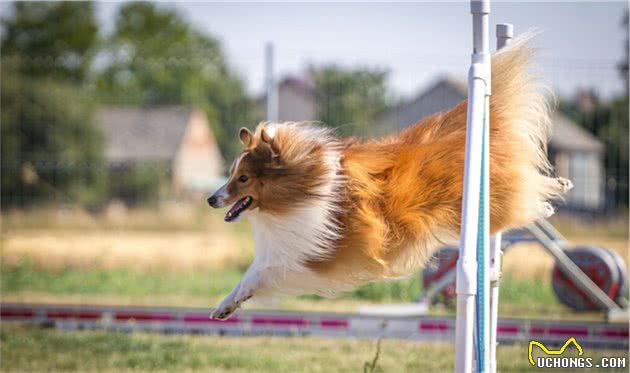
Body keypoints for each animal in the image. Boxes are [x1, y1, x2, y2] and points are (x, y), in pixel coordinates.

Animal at [206, 36, 572, 318]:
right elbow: (250, 275)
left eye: (243, 178)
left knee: (527, 192)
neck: (305, 189)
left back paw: (550, 196)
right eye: (233, 174)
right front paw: (226, 306)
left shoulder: (316, 257)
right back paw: (559, 187)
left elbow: (260, 273)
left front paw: (230, 302)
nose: (210, 199)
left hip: (493, 202)